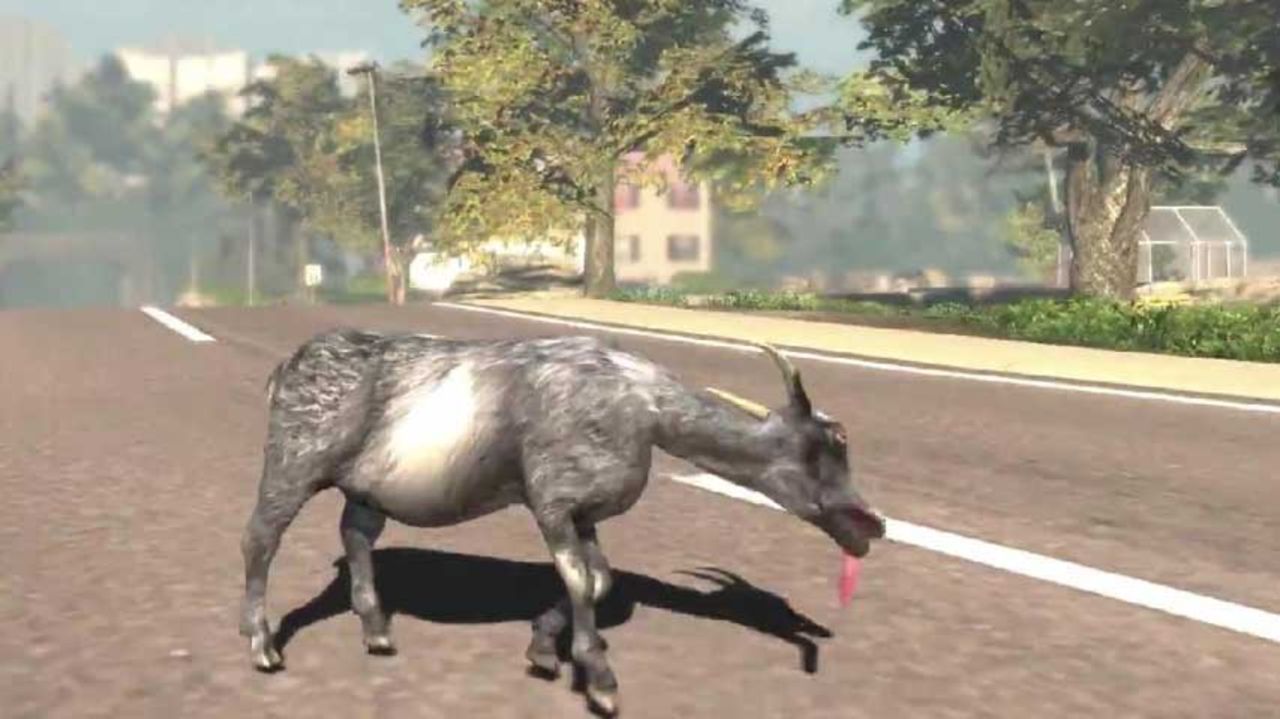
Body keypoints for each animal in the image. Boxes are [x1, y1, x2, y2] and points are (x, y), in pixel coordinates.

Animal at [240, 329, 886, 716]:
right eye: (826, 449)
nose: (872, 526)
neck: (643, 408)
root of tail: (285, 368)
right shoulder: (550, 500)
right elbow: (580, 579)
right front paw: (598, 679)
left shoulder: (587, 511)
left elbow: (598, 579)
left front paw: (545, 649)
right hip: (294, 461)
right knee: (260, 538)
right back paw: (262, 646)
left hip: (366, 489)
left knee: (355, 534)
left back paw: (376, 632)